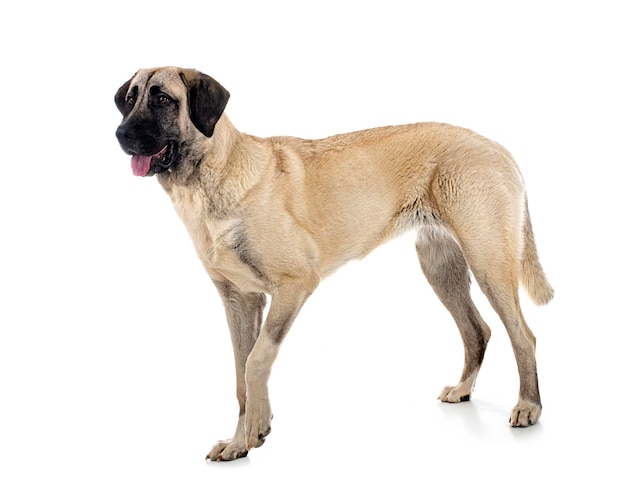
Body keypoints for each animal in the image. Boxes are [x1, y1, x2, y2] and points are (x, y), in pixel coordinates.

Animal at [113, 66, 552, 462]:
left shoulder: (293, 286)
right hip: (441, 268)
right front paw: (243, 438)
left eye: (163, 99)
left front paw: (253, 433)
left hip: (488, 261)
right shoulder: (240, 301)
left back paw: (528, 406)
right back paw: (463, 390)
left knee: (523, 336)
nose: (121, 135)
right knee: (477, 330)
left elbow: (257, 361)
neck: (214, 175)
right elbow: (240, 376)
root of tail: (497, 147)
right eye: (130, 99)